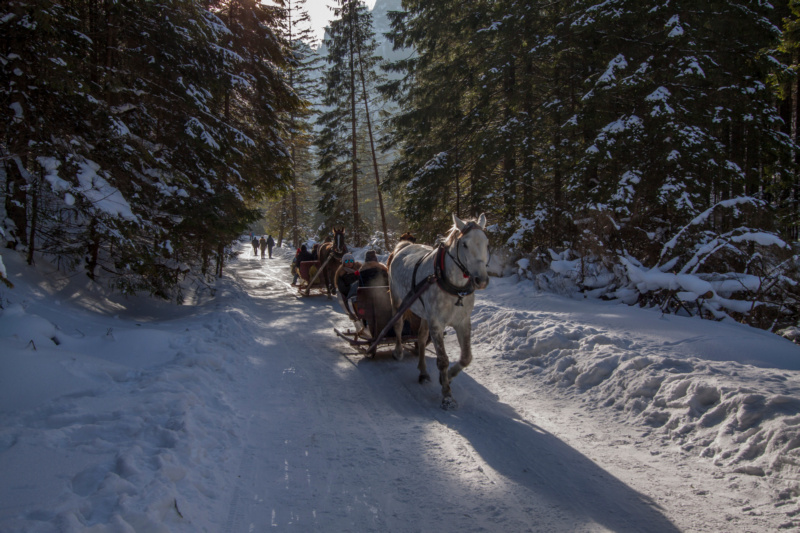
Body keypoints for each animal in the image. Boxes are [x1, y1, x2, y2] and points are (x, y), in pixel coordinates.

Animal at [390, 212, 490, 408]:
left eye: (486, 242)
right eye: (464, 244)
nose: (481, 280)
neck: (454, 288)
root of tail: (403, 247)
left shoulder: (462, 322)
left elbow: (466, 357)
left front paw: (448, 377)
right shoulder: (437, 323)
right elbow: (443, 360)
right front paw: (447, 395)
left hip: (424, 314)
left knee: (421, 338)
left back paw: (423, 372)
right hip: (398, 301)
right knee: (397, 325)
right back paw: (398, 351)